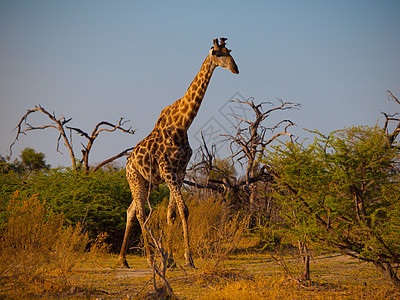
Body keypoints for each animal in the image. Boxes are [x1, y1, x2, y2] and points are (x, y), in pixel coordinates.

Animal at [118, 36, 238, 268]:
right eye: (219, 53)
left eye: (230, 52)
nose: (236, 68)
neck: (182, 124)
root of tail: (127, 163)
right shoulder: (168, 170)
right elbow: (183, 210)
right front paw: (187, 258)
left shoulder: (180, 172)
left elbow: (172, 213)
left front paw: (172, 259)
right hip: (134, 179)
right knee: (140, 213)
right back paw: (149, 258)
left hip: (146, 183)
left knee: (130, 211)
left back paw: (123, 259)